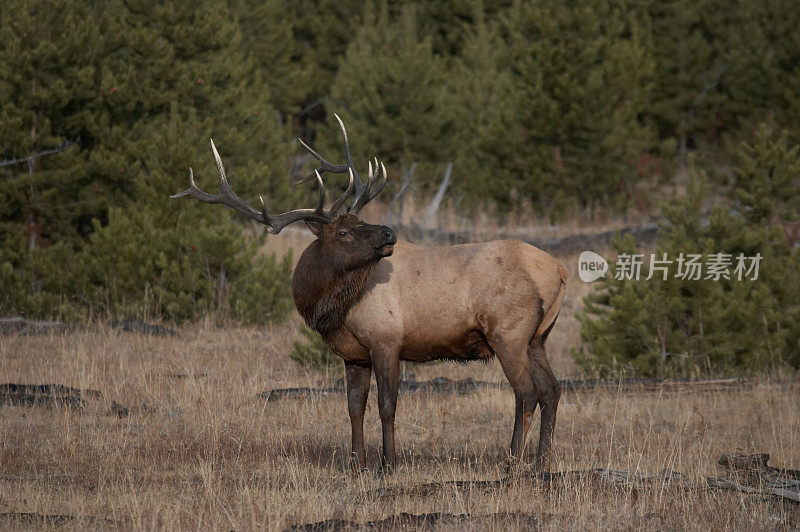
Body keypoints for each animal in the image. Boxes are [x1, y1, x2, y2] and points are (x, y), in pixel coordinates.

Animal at [172, 115, 568, 470]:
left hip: (508, 332)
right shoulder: (354, 354)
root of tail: (559, 270)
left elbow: (386, 404)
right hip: (538, 337)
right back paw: (542, 463)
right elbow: (353, 407)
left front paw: (388, 463)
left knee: (527, 393)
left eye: (359, 223)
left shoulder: (387, 339)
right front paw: (355, 462)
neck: (332, 310)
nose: (390, 231)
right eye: (345, 232)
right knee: (552, 389)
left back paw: (512, 463)